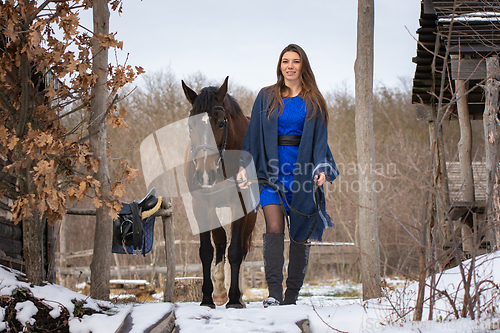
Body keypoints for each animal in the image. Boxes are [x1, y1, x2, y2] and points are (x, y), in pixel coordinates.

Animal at [181, 76, 258, 308]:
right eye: (190, 125)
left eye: (221, 122)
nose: (205, 174)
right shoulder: (200, 205)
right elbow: (207, 250)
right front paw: (208, 297)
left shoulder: (240, 204)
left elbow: (235, 251)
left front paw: (234, 299)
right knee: (221, 240)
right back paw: (220, 290)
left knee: (241, 246)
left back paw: (236, 295)